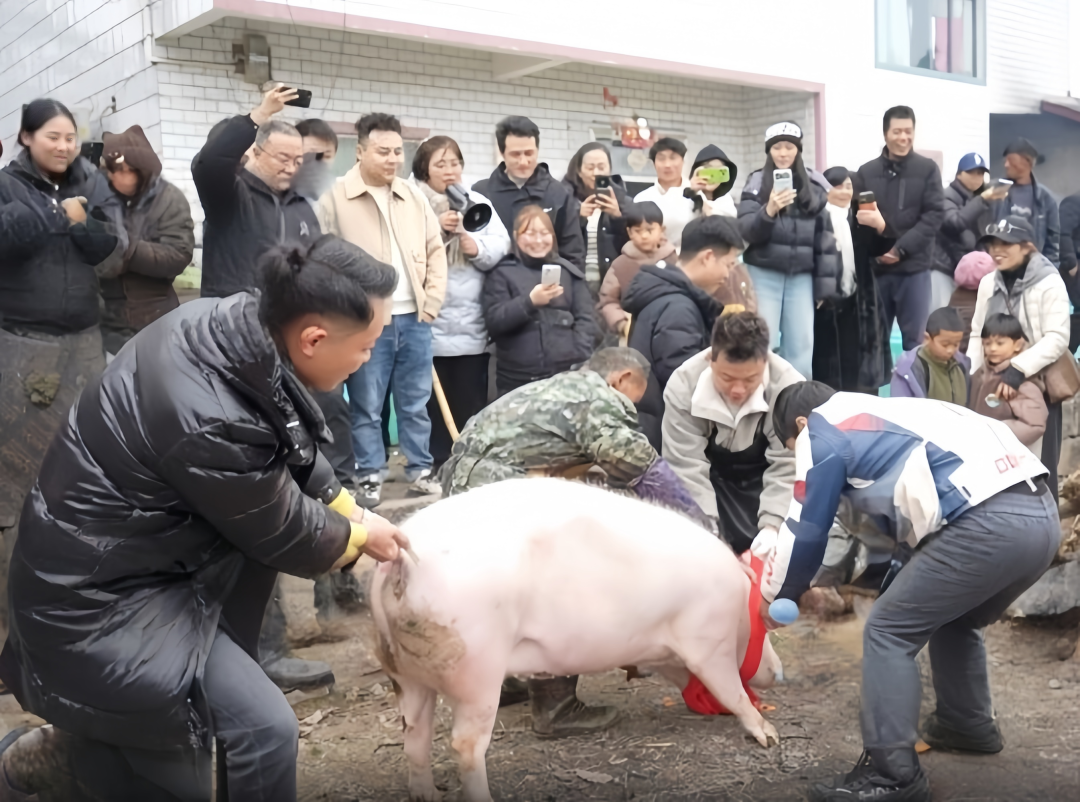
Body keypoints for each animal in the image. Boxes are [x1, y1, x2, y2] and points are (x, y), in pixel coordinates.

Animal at [370, 478, 782, 802]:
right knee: (465, 744)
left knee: (414, 734)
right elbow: (729, 688)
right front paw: (769, 735)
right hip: (477, 669)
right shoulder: (707, 640)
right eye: (765, 633)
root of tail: (399, 561)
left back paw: (426, 793)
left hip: (404, 674)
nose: (778, 673)